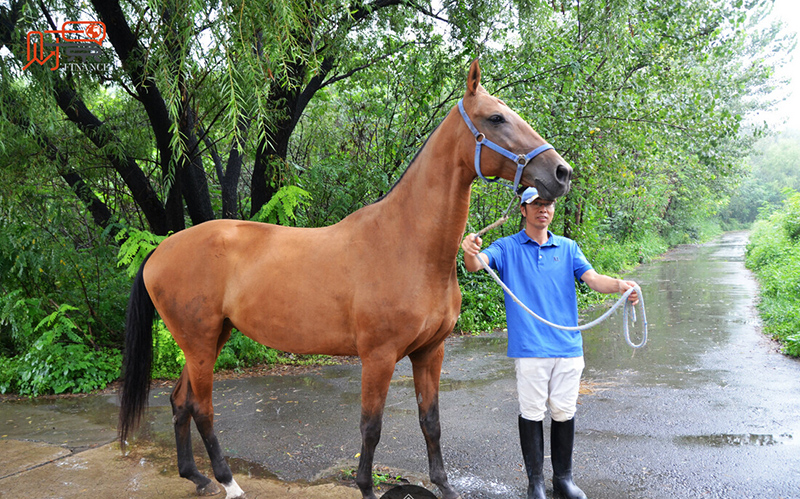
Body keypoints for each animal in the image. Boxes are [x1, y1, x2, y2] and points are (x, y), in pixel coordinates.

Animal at [117, 59, 568, 499]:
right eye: (496, 118)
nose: (561, 173)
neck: (407, 245)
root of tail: (160, 251)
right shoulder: (379, 357)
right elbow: (371, 426)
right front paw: (366, 487)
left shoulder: (431, 352)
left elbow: (431, 421)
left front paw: (443, 485)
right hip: (200, 343)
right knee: (203, 410)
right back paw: (228, 482)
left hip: (210, 339)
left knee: (180, 401)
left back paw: (196, 476)